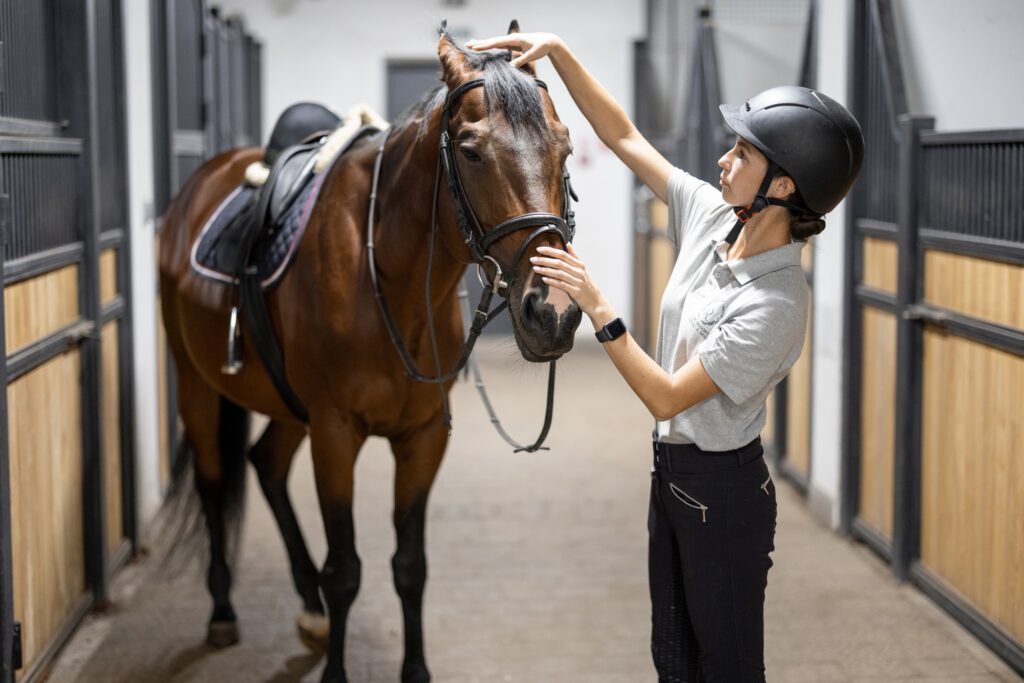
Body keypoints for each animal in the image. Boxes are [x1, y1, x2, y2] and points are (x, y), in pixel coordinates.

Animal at [155, 24, 581, 679]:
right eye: (471, 151)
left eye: (565, 148)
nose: (553, 312)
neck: (388, 277)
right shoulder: (335, 433)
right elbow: (346, 570)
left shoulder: (423, 437)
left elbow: (410, 566)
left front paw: (414, 668)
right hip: (197, 384)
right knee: (212, 478)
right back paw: (223, 611)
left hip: (287, 405)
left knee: (265, 465)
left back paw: (307, 611)